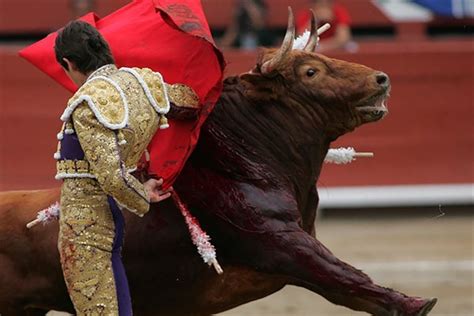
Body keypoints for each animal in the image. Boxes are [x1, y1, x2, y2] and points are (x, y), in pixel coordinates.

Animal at [0, 9, 436, 316]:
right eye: (311, 71)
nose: (382, 79)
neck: (245, 164)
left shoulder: (294, 252)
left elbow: (349, 287)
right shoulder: (284, 243)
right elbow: (348, 276)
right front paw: (417, 304)